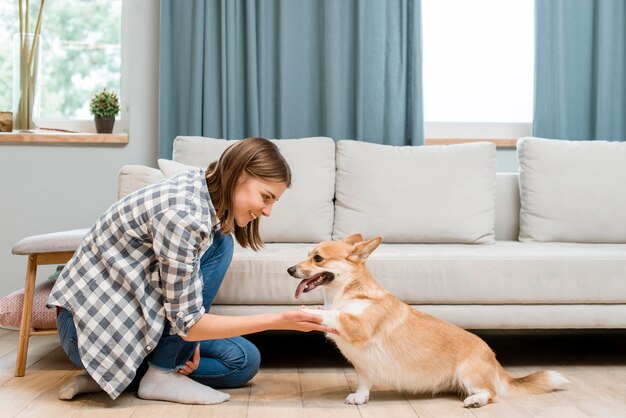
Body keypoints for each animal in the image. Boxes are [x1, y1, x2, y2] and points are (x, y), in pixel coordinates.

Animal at [286, 233, 568, 406]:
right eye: (307, 253)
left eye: (318, 258)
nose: (289, 269)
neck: (345, 294)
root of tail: (494, 361)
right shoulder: (363, 366)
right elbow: (363, 383)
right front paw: (360, 397)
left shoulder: (359, 325)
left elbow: (333, 314)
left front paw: (309, 312)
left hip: (469, 374)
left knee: (491, 395)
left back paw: (475, 401)